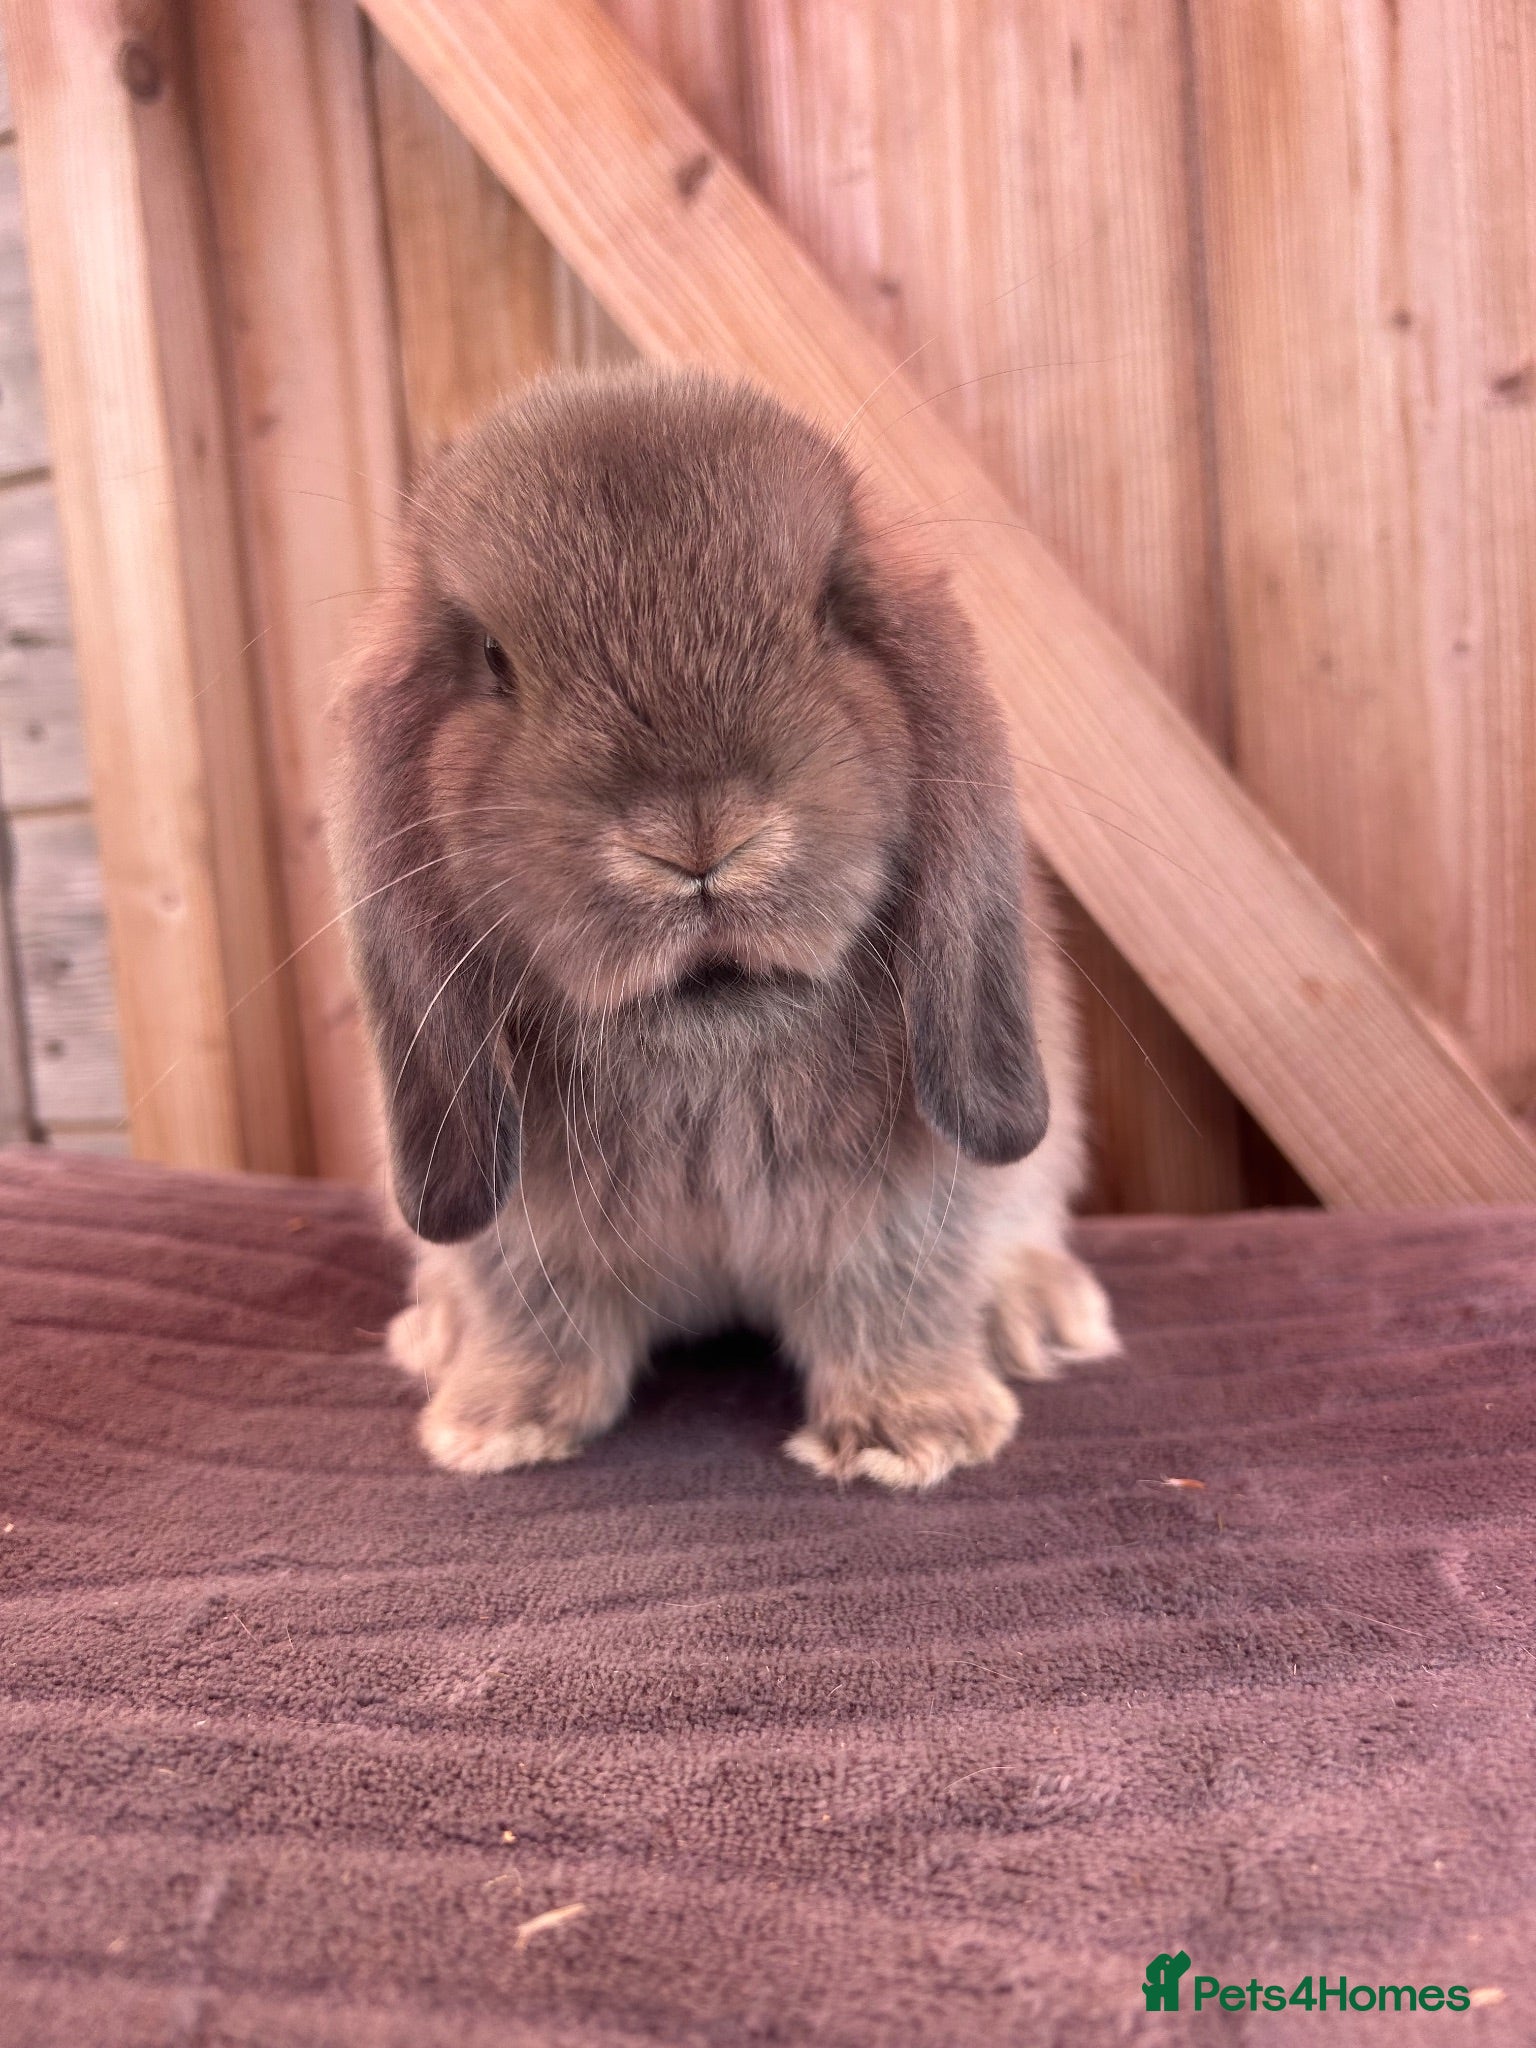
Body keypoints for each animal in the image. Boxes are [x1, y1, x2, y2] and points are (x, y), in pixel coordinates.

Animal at [330, 366, 1118, 1490]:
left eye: (830, 611)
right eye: (492, 658)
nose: (698, 837)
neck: (707, 1049)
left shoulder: (912, 1200)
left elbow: (893, 1292)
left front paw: (909, 1434)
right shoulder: (521, 1230)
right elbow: (535, 1312)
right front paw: (496, 1424)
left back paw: (1037, 1312)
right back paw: (435, 1332)